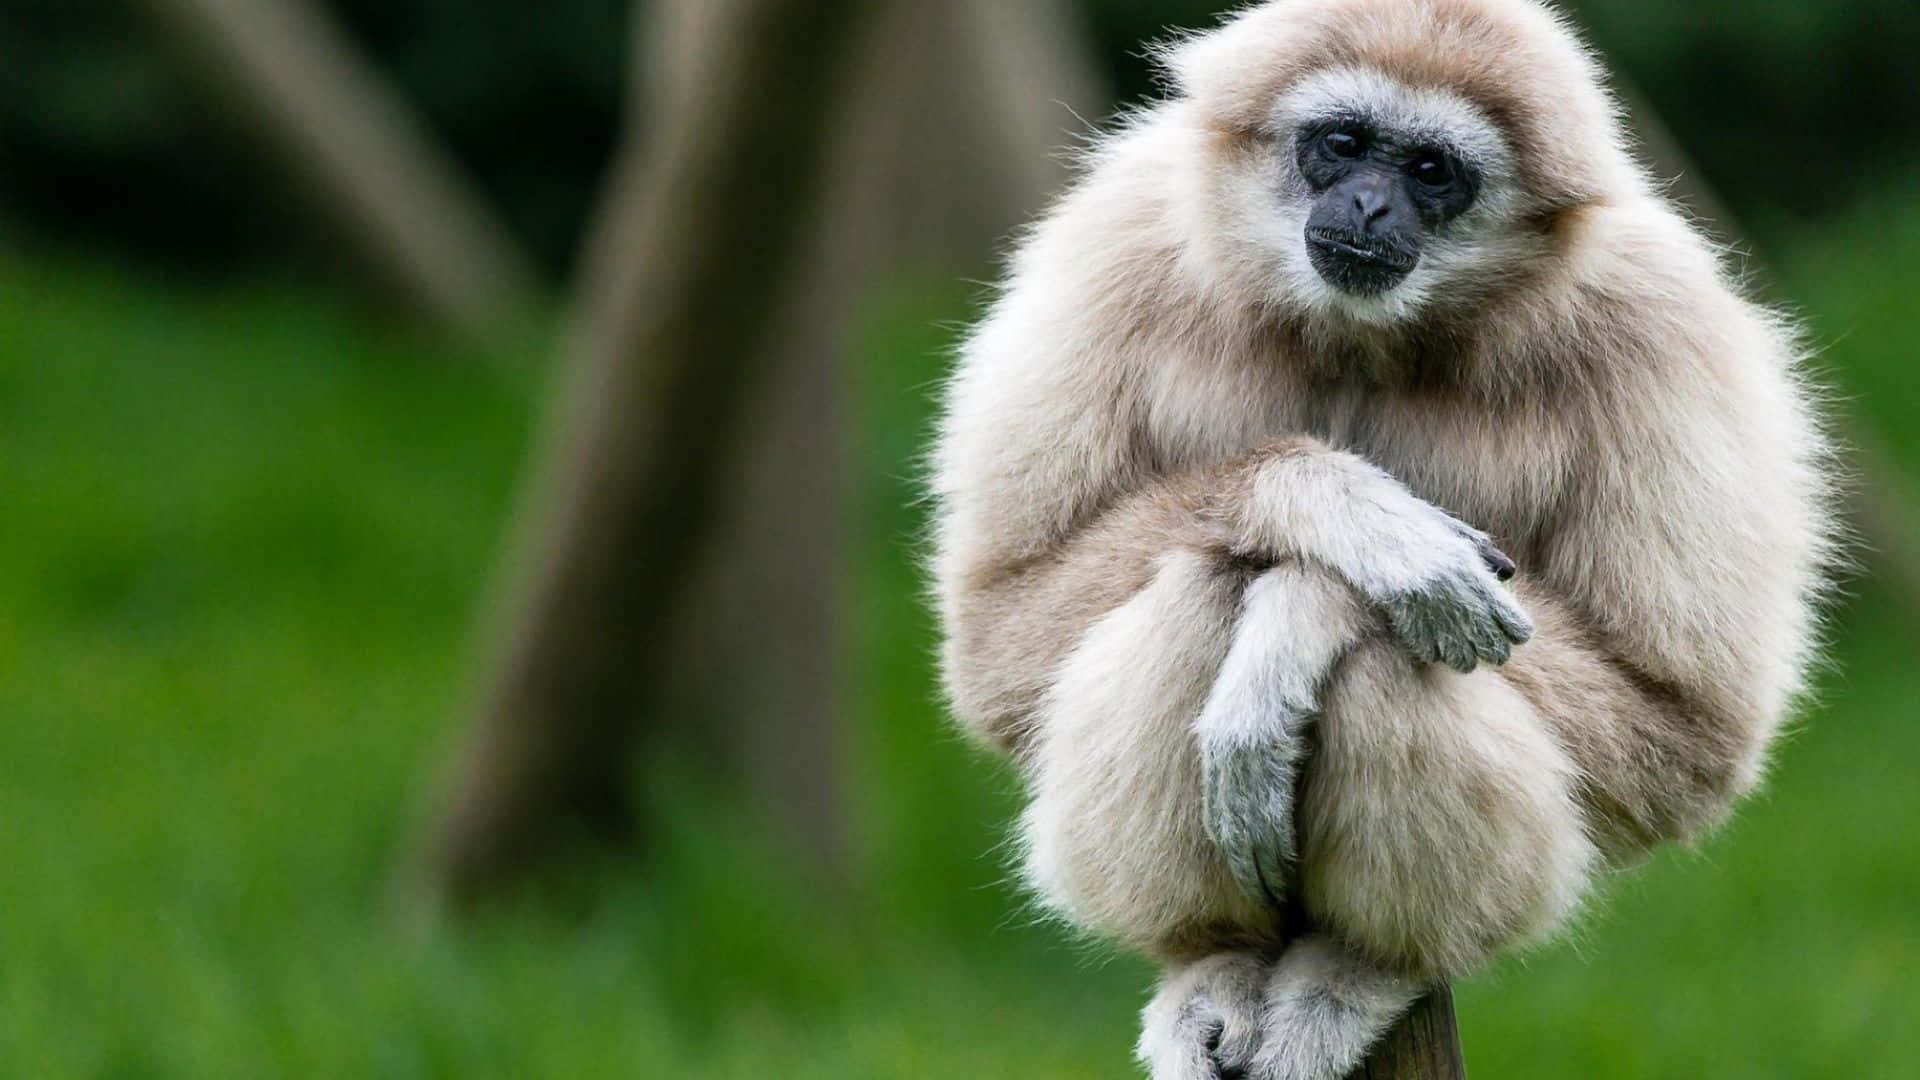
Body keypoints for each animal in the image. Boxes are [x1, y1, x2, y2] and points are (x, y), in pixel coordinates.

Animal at [926, 1, 1836, 1078]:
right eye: (1344, 144)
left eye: (1432, 171)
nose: (1367, 205)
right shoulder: (1113, 239)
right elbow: (999, 633)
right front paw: (1342, 510)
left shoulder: (1661, 324)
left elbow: (1685, 723)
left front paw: (1310, 604)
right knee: (1203, 584)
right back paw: (1213, 960)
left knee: (1388, 649)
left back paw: (1362, 962)